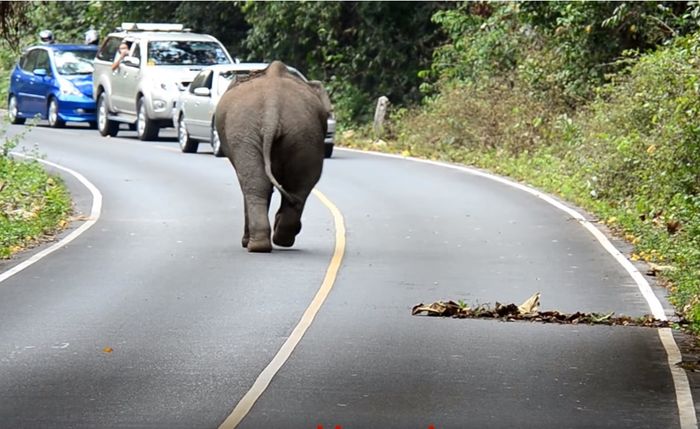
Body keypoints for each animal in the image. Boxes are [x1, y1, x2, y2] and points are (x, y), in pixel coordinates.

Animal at [215, 61, 332, 252]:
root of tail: (272, 107)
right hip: (303, 134)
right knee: (298, 186)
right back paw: (277, 241)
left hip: (247, 132)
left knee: (256, 186)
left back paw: (255, 245)